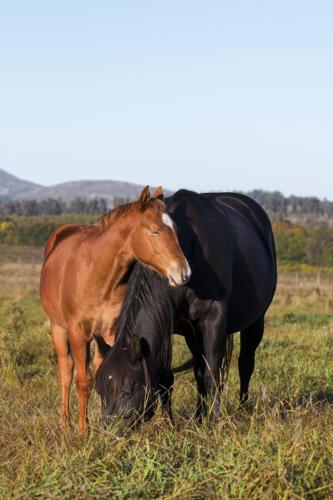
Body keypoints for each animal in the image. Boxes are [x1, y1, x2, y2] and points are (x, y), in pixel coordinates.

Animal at [39, 186, 189, 432]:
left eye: (176, 229)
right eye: (155, 231)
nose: (183, 273)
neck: (97, 275)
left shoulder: (111, 331)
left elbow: (105, 370)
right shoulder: (78, 333)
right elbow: (83, 381)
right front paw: (83, 431)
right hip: (58, 328)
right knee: (65, 370)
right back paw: (64, 422)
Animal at [93, 189, 274, 424]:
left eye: (126, 390)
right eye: (100, 390)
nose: (109, 429)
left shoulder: (214, 321)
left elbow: (213, 373)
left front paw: (215, 421)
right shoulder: (173, 327)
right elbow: (169, 378)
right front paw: (175, 422)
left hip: (254, 323)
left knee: (245, 364)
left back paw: (242, 409)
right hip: (194, 334)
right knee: (199, 370)